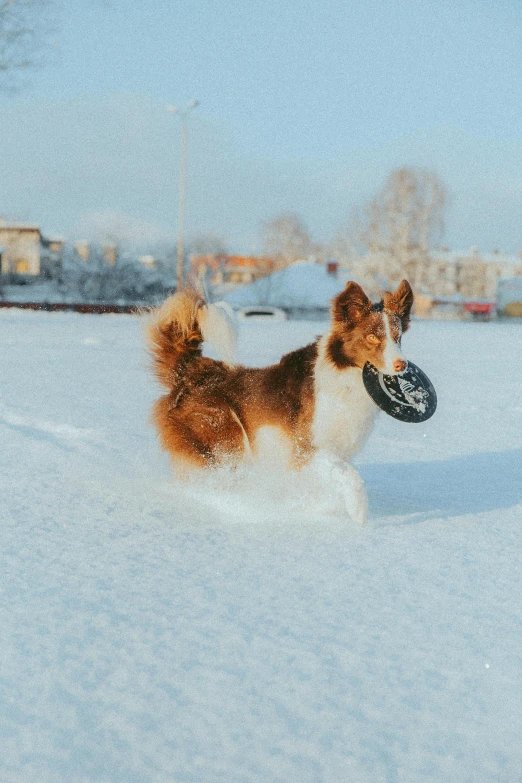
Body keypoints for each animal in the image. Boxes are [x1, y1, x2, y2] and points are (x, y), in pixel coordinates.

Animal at [146, 278, 410, 524]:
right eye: (372, 337)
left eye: (398, 338)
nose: (402, 365)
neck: (345, 376)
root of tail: (191, 372)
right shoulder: (304, 448)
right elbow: (350, 476)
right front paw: (358, 513)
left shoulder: (339, 448)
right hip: (225, 436)